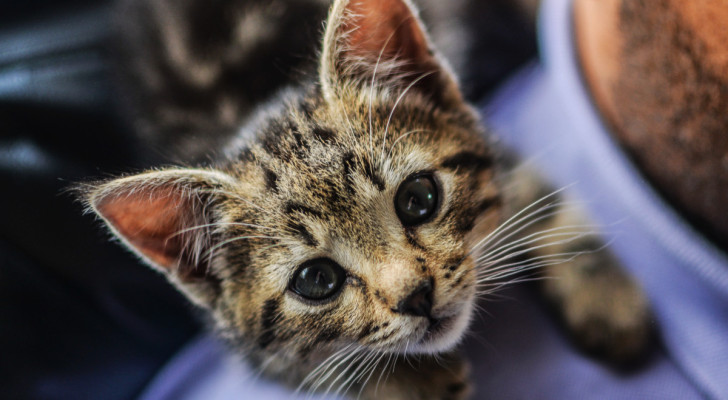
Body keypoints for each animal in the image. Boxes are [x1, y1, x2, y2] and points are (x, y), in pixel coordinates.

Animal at [82, 0, 652, 396]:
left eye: (419, 198)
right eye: (316, 280)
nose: (416, 296)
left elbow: (541, 198)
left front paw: (605, 299)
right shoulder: (246, 344)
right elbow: (309, 366)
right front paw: (409, 383)